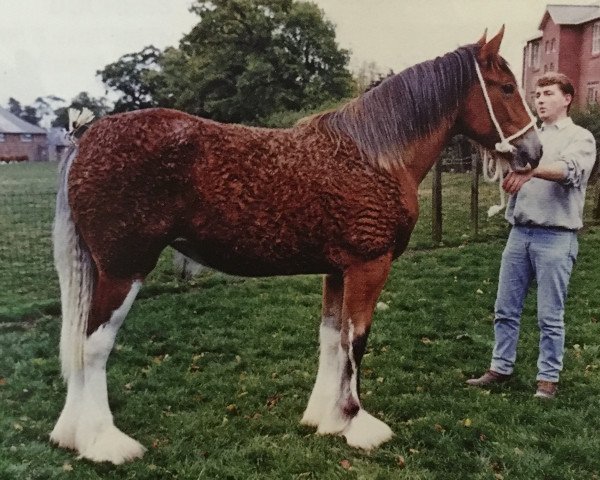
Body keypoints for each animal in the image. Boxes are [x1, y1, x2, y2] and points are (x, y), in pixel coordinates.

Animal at [49, 28, 540, 464]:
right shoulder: (369, 265)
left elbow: (331, 338)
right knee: (94, 346)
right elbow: (356, 340)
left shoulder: (337, 270)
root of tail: (87, 137)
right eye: (506, 87)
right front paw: (357, 423)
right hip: (124, 269)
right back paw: (104, 443)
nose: (533, 153)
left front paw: (327, 419)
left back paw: (72, 435)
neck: (376, 154)